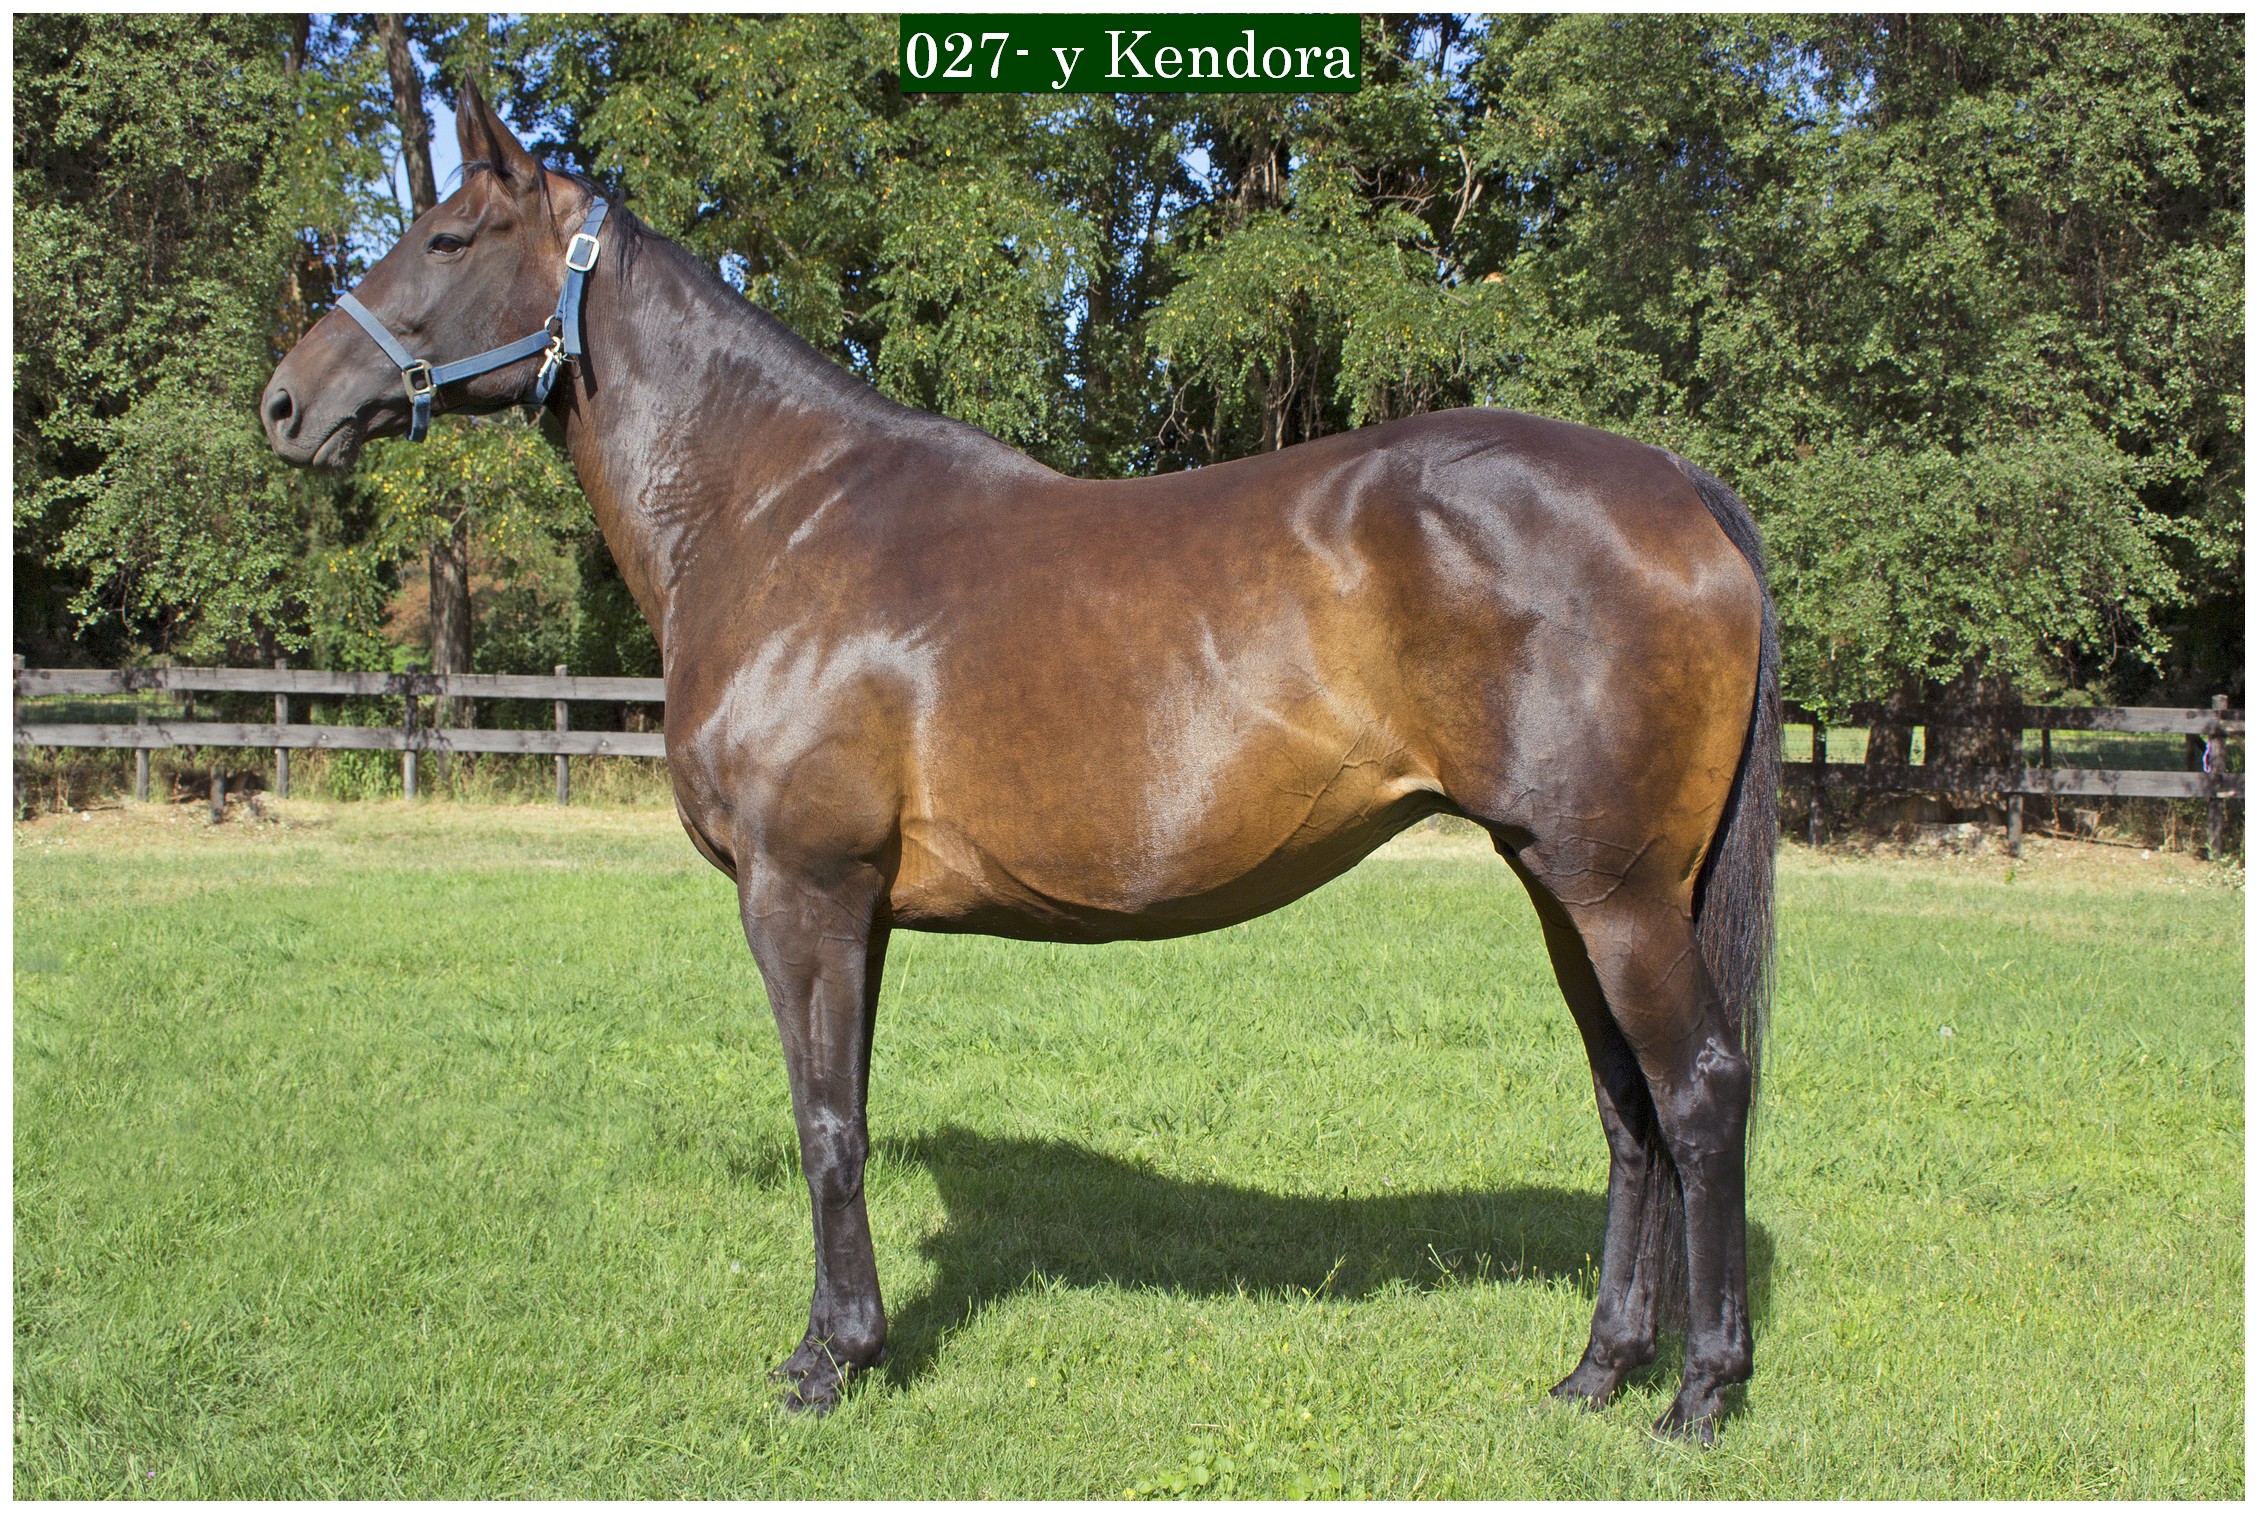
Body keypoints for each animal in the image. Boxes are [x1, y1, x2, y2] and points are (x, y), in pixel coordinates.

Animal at [262, 81, 1779, 1443]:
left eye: (449, 236)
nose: (286, 403)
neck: (775, 515)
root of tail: (1674, 485)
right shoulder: (859, 910)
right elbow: (849, 1109)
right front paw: (838, 1345)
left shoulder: (798, 890)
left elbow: (824, 1123)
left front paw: (829, 1365)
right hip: (1563, 884)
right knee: (1629, 1110)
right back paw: (1597, 1370)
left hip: (1618, 892)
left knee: (1700, 1091)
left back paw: (1698, 1394)